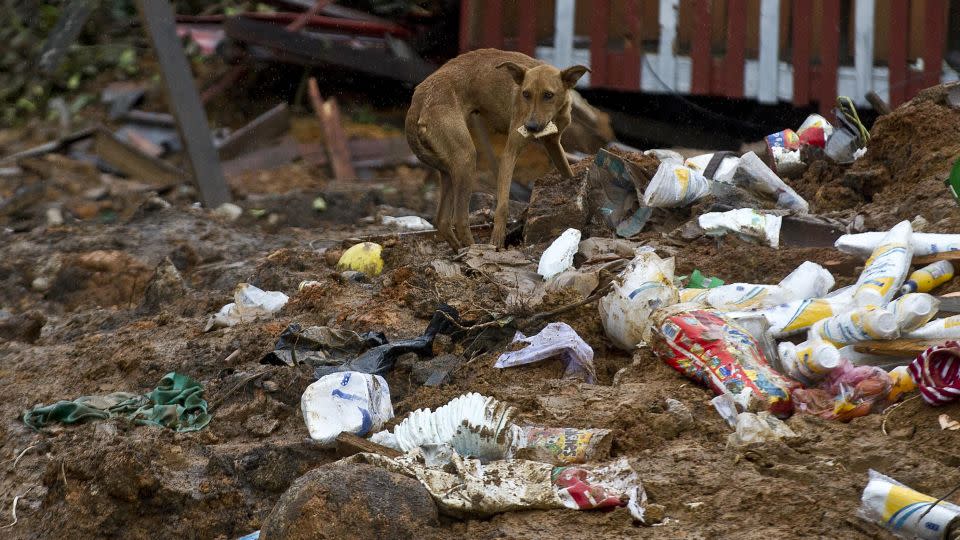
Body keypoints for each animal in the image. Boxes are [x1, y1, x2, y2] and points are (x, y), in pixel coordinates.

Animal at [404, 48, 588, 249]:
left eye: (548, 95)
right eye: (525, 94)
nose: (530, 126)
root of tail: (417, 98)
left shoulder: (553, 144)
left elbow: (567, 172)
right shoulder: (509, 154)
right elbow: (503, 206)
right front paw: (498, 239)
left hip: (449, 168)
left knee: (443, 221)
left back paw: (460, 250)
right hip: (466, 158)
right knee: (459, 220)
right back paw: (474, 248)